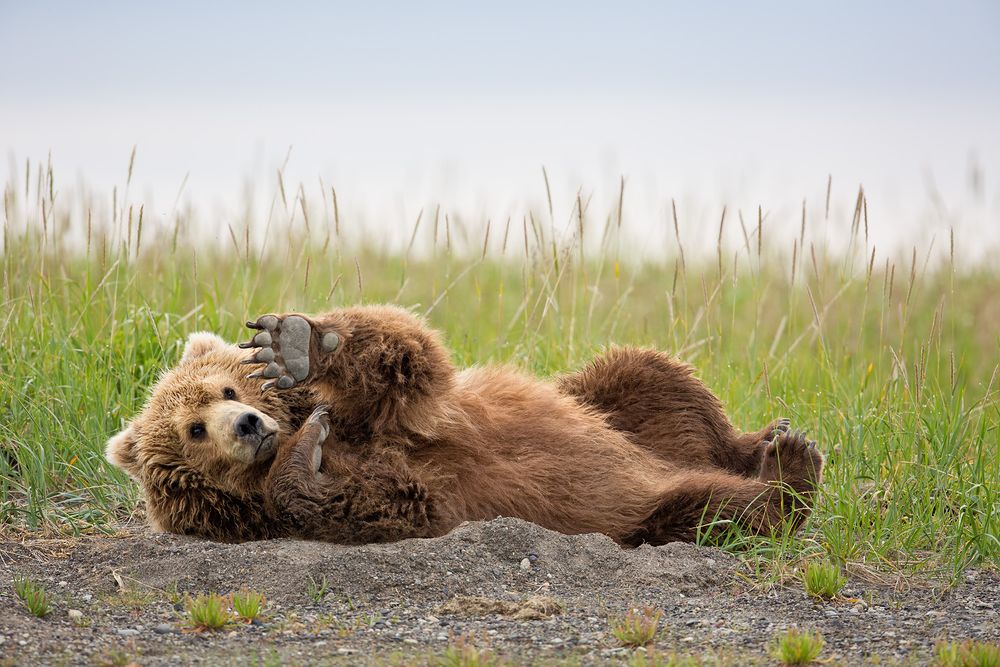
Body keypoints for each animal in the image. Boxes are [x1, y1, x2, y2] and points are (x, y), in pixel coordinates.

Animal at [105, 304, 823, 546]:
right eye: (194, 430)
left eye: (226, 387)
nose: (250, 425)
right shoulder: (408, 488)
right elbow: (383, 502)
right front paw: (300, 457)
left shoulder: (407, 413)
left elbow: (408, 356)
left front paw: (298, 342)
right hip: (643, 510)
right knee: (710, 510)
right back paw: (787, 475)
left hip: (619, 409)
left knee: (653, 378)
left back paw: (775, 443)